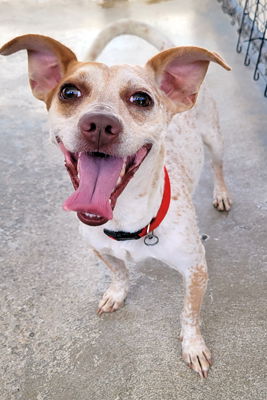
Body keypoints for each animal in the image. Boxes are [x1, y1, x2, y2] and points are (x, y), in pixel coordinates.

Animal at [0, 18, 232, 376]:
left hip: (214, 140)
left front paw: (193, 346)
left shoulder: (196, 270)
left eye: (141, 99)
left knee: (219, 167)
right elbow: (119, 272)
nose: (99, 123)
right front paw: (116, 293)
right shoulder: (98, 248)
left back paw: (221, 193)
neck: (126, 220)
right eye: (69, 92)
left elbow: (190, 315)